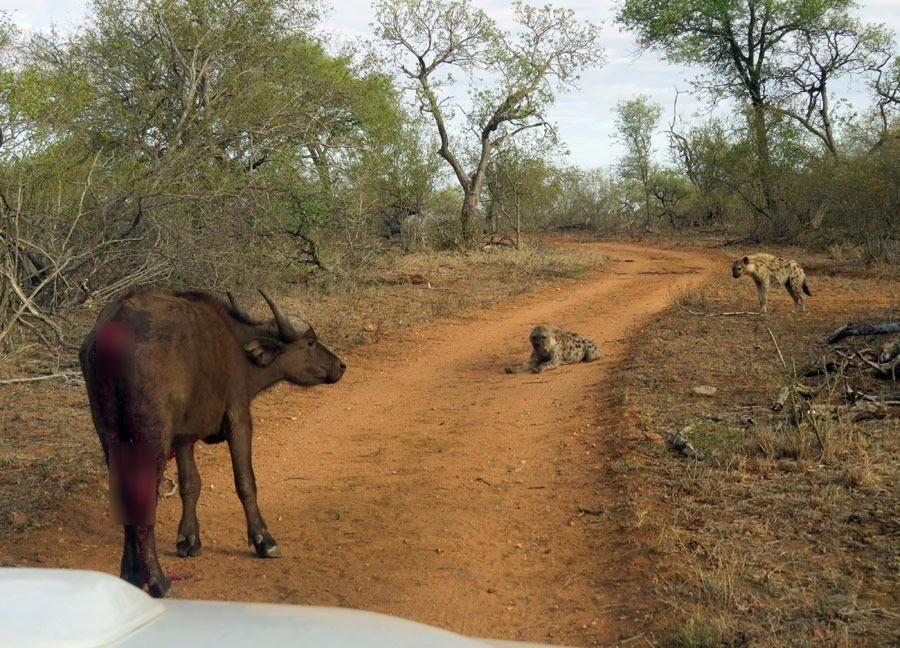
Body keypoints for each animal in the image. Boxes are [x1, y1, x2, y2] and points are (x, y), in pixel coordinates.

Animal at [79, 288, 346, 596]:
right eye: (311, 342)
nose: (340, 365)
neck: (239, 349)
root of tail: (113, 332)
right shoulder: (238, 417)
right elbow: (245, 481)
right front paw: (263, 540)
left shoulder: (183, 438)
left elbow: (190, 484)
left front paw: (188, 539)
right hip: (151, 439)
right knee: (142, 499)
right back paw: (158, 580)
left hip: (110, 436)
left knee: (124, 496)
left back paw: (131, 575)